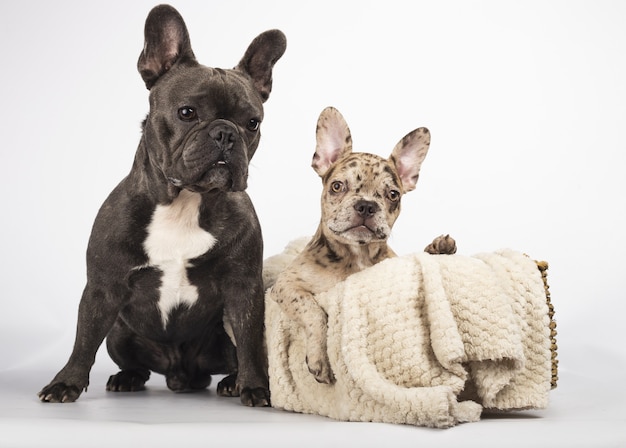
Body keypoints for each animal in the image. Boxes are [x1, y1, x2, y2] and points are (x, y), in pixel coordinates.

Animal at [36, 4, 286, 410]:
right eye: (187, 113)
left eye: (252, 123)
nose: (225, 133)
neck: (184, 202)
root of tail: (179, 375)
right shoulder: (102, 289)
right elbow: (83, 341)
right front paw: (65, 383)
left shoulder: (243, 290)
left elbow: (250, 342)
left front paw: (254, 387)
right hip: (119, 334)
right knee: (128, 359)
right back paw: (126, 378)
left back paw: (231, 382)